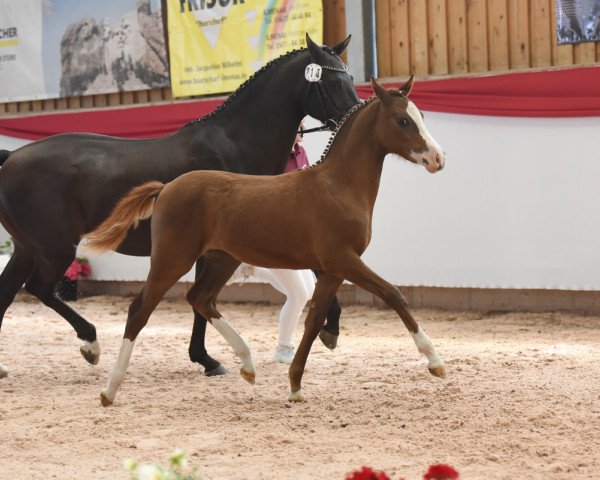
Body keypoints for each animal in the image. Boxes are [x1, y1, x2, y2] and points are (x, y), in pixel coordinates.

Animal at [0, 32, 358, 378]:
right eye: (332, 82)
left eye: (351, 77)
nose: (354, 118)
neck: (234, 145)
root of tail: (12, 157)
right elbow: (202, 300)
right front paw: (208, 359)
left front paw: (205, 358)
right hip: (55, 247)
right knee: (40, 288)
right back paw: (91, 343)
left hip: (27, 249)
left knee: (7, 294)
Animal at [86, 78, 448, 404]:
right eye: (402, 120)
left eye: (420, 116)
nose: (438, 159)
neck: (338, 186)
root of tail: (165, 188)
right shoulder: (343, 260)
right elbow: (393, 294)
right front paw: (435, 362)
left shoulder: (332, 270)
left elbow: (314, 320)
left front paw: (296, 386)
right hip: (172, 259)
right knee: (140, 310)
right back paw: (109, 389)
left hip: (221, 259)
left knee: (200, 299)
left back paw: (247, 364)